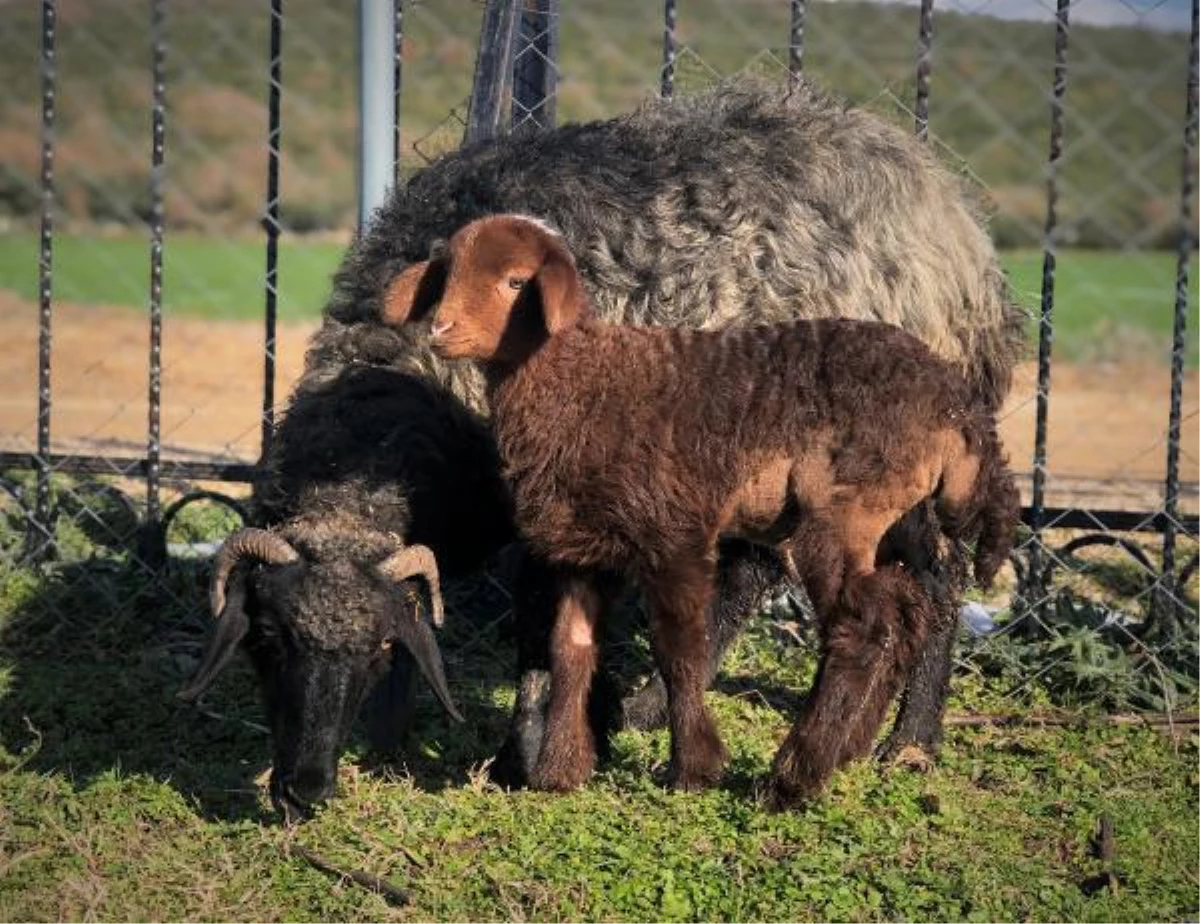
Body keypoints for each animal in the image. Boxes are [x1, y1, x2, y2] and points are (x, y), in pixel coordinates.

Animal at [381, 212, 1012, 801]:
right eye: (447, 275)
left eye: (516, 282)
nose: (441, 330)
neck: (583, 379)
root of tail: (957, 405)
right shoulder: (583, 546)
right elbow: (573, 648)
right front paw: (561, 770)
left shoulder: (674, 533)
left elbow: (679, 649)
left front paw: (693, 769)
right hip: (899, 518)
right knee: (909, 608)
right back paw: (847, 751)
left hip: (846, 511)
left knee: (864, 626)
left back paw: (793, 778)